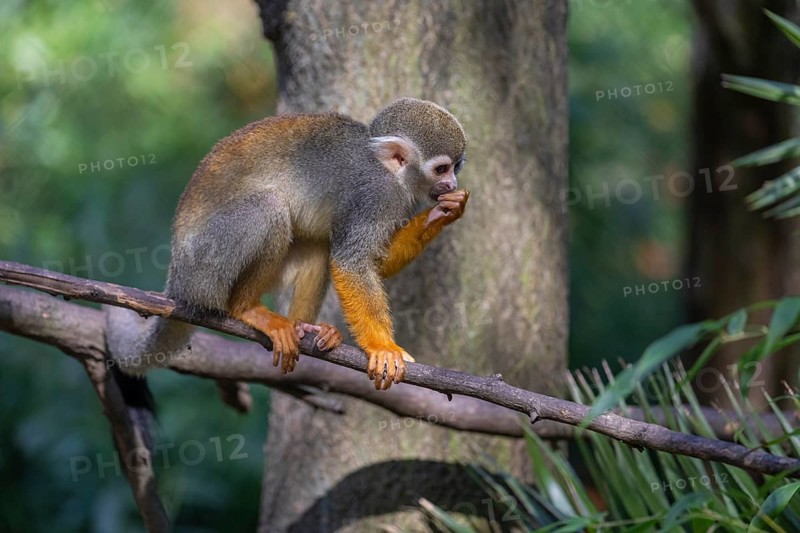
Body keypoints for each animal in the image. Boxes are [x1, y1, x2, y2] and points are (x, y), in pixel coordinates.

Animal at [106, 97, 468, 394]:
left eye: (456, 167)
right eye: (441, 168)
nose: (451, 184)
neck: (388, 170)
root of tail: (177, 284)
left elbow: (373, 261)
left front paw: (445, 212)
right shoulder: (375, 194)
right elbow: (353, 261)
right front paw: (382, 348)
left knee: (319, 243)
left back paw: (303, 326)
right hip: (204, 267)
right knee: (269, 209)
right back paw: (246, 308)